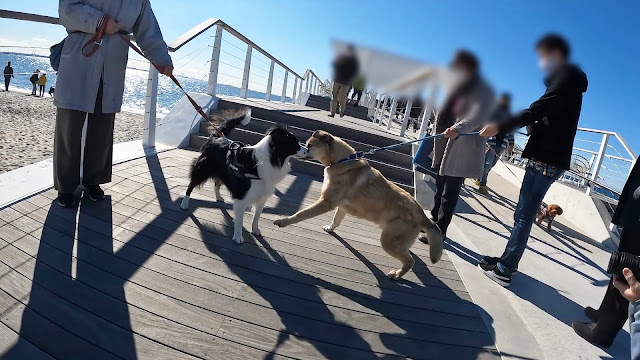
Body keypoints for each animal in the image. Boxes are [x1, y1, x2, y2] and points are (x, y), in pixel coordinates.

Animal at [272, 131, 442, 280]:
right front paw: (330, 228)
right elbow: (336, 220)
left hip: (387, 240)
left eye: (310, 145)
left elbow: (301, 214)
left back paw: (397, 274)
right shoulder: (340, 207)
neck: (341, 161)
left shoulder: (325, 203)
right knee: (408, 253)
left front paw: (283, 221)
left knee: (409, 261)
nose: (300, 148)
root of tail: (423, 216)